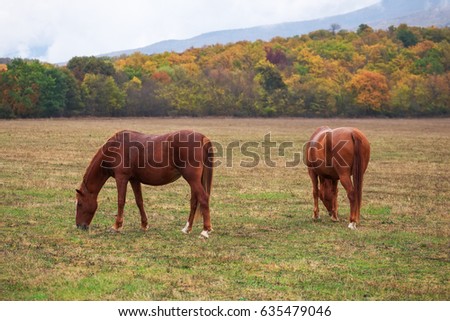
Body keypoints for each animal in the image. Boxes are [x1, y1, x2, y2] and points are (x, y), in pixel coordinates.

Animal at [74, 129, 214, 238]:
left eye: (79, 204)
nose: (79, 226)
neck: (115, 147)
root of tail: (202, 138)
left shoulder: (121, 178)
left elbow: (121, 201)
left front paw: (116, 226)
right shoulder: (134, 180)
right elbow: (139, 201)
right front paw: (144, 225)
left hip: (192, 179)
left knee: (203, 198)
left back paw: (205, 231)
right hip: (194, 180)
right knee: (194, 201)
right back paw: (187, 229)